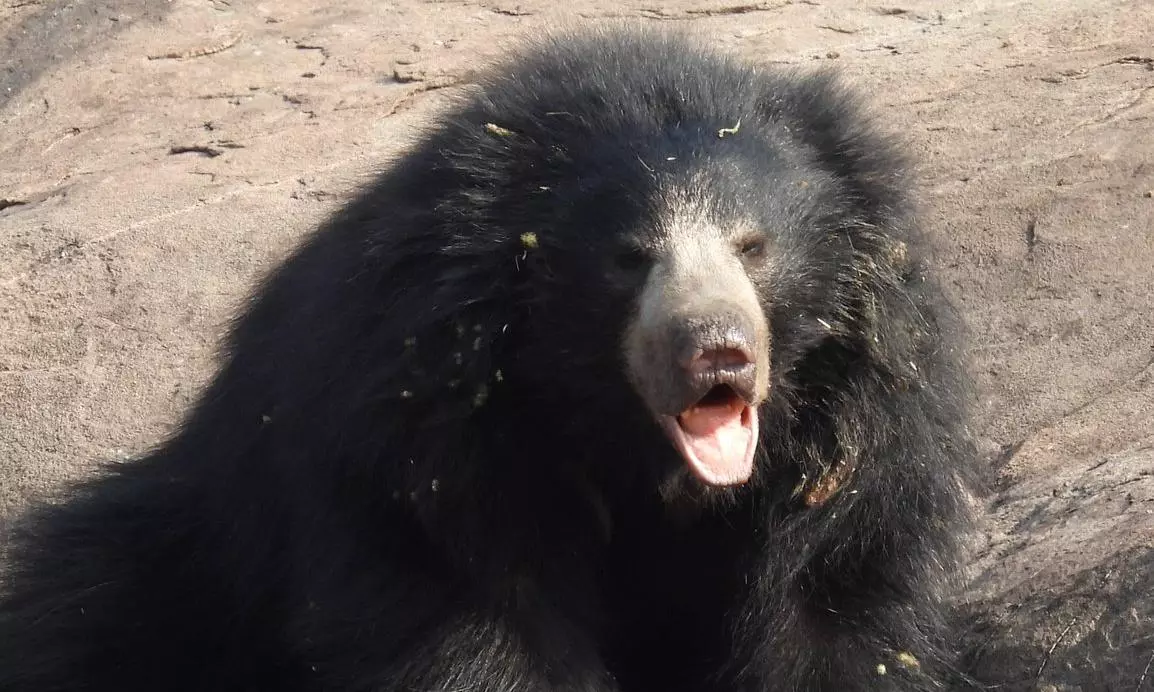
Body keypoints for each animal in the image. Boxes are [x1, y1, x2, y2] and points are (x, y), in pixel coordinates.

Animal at [0, 27, 973, 692]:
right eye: (628, 257)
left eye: (753, 246)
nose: (717, 354)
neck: (627, 448)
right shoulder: (433, 444)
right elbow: (480, 621)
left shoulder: (859, 439)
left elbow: (827, 603)